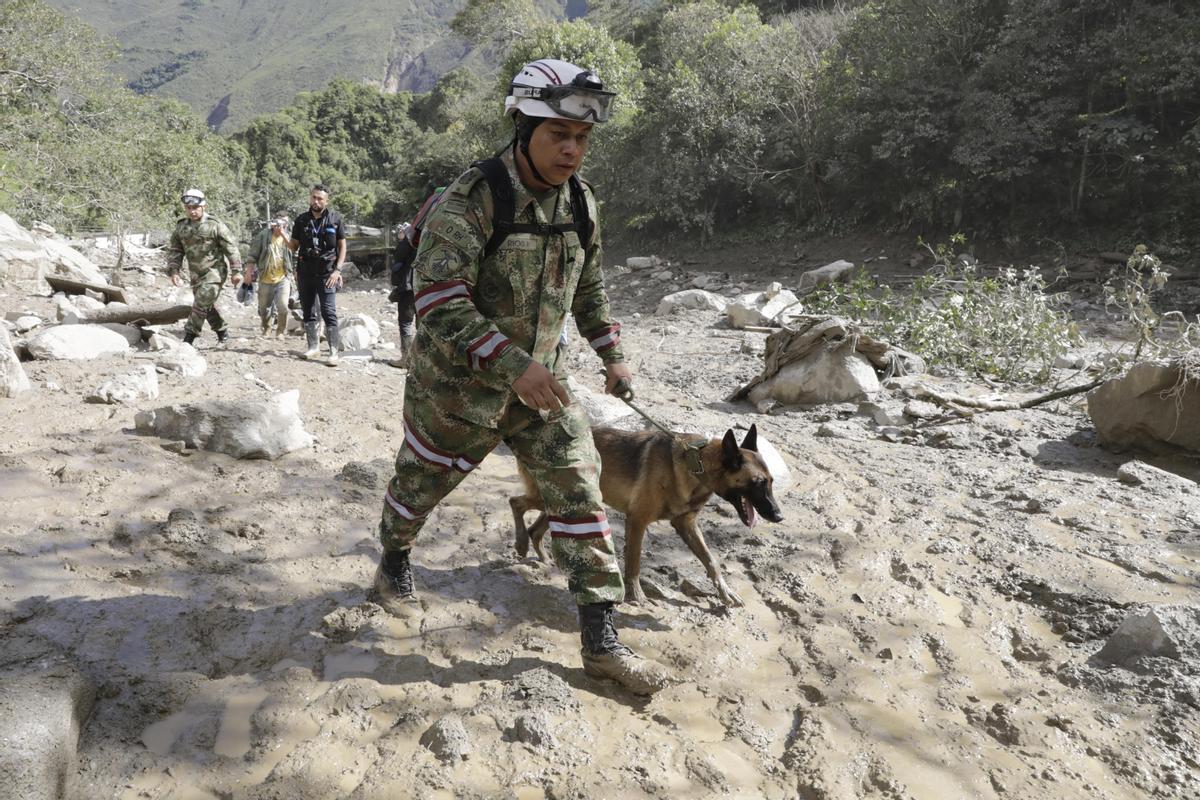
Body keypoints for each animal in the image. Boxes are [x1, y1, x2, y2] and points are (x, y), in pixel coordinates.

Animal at [508, 424, 782, 606]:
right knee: (515, 503)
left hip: (567, 504)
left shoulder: (687, 525)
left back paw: (541, 555)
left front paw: (725, 592)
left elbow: (711, 561)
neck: (697, 466)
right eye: (758, 483)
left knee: (535, 528)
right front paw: (637, 595)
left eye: (771, 481)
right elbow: (634, 562)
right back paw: (521, 544)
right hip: (556, 499)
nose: (779, 516)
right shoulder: (637, 521)